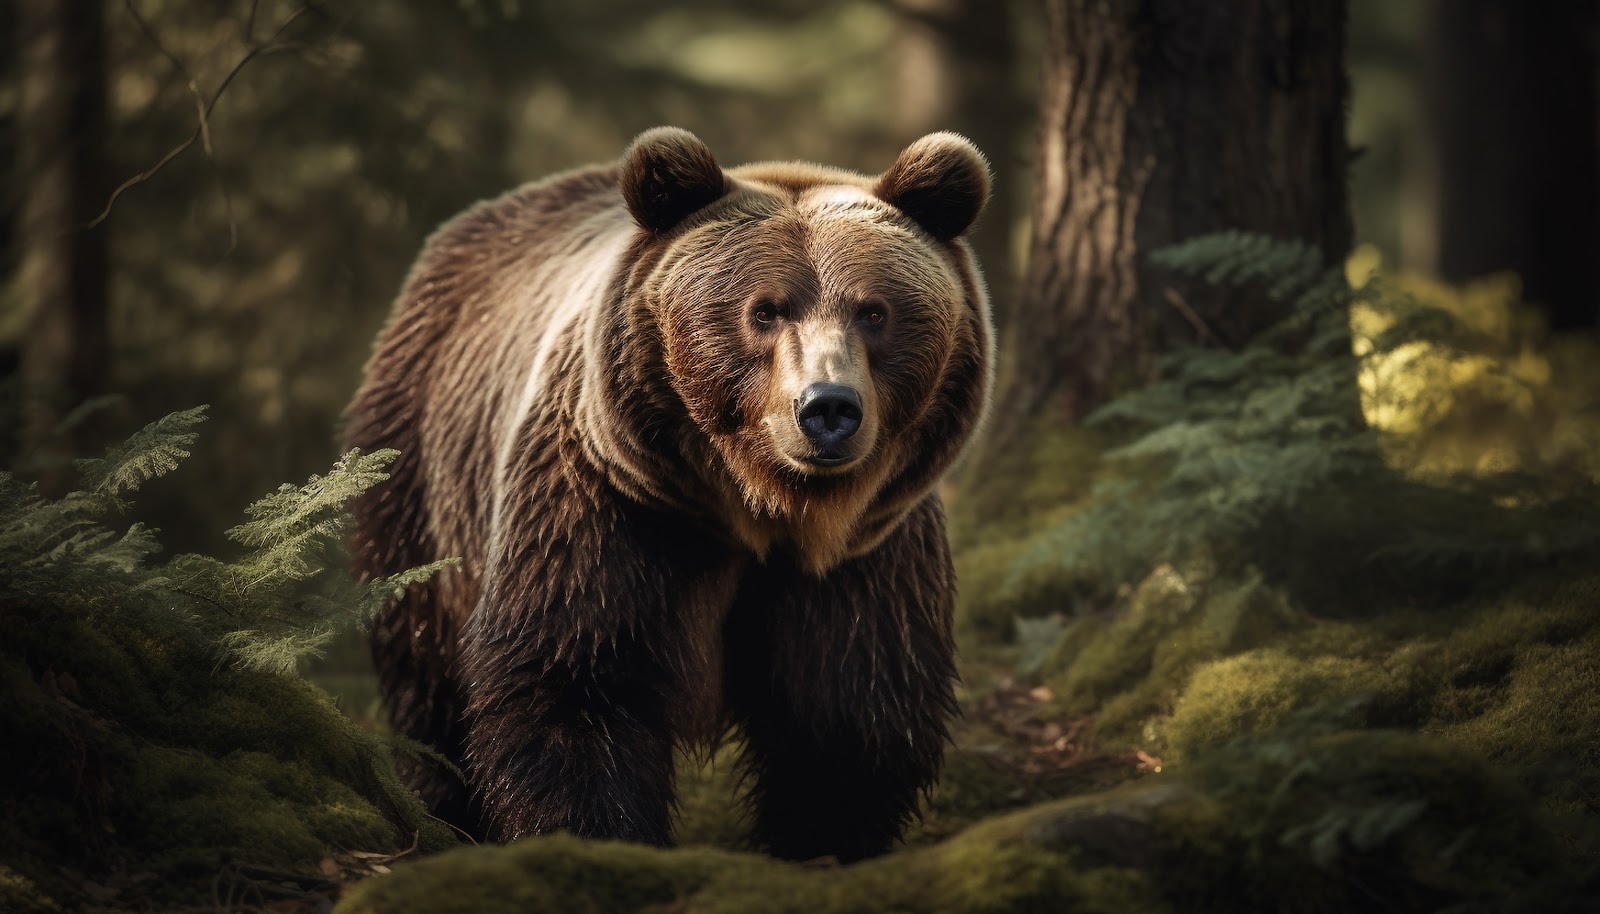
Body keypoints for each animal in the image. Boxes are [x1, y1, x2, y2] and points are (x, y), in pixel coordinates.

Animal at [344, 127, 993, 862]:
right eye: (764, 311)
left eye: (874, 311)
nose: (827, 407)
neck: (762, 510)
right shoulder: (611, 504)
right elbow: (575, 677)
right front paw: (597, 834)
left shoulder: (865, 550)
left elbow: (851, 703)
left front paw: (819, 838)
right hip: (419, 472)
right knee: (422, 665)